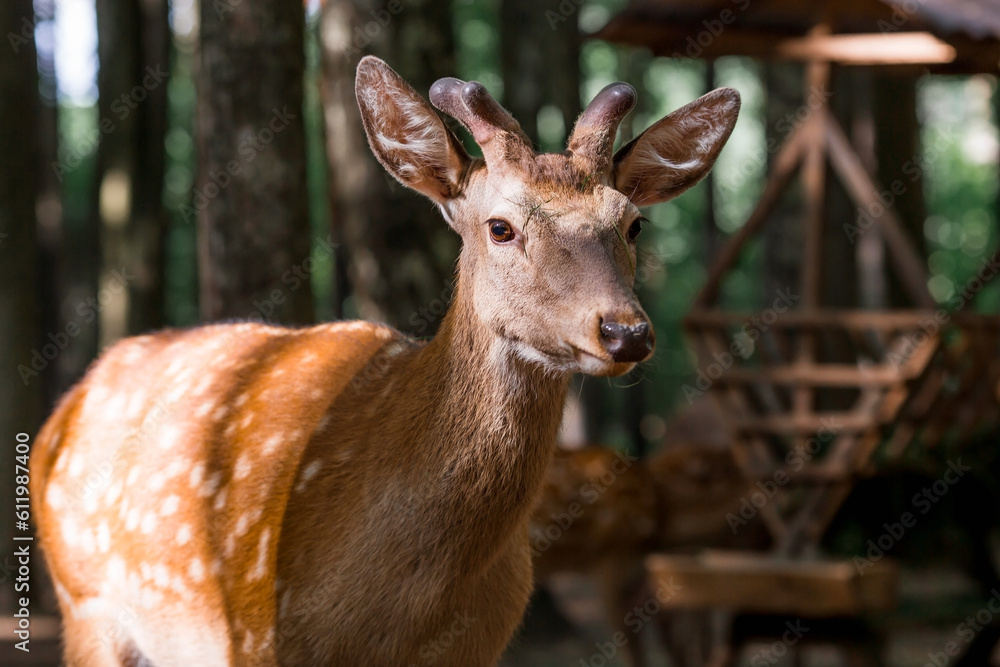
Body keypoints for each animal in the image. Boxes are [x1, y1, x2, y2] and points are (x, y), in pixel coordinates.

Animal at [30, 56, 739, 666]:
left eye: (634, 224)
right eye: (500, 227)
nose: (625, 332)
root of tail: (63, 413)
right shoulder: (256, 634)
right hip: (86, 606)